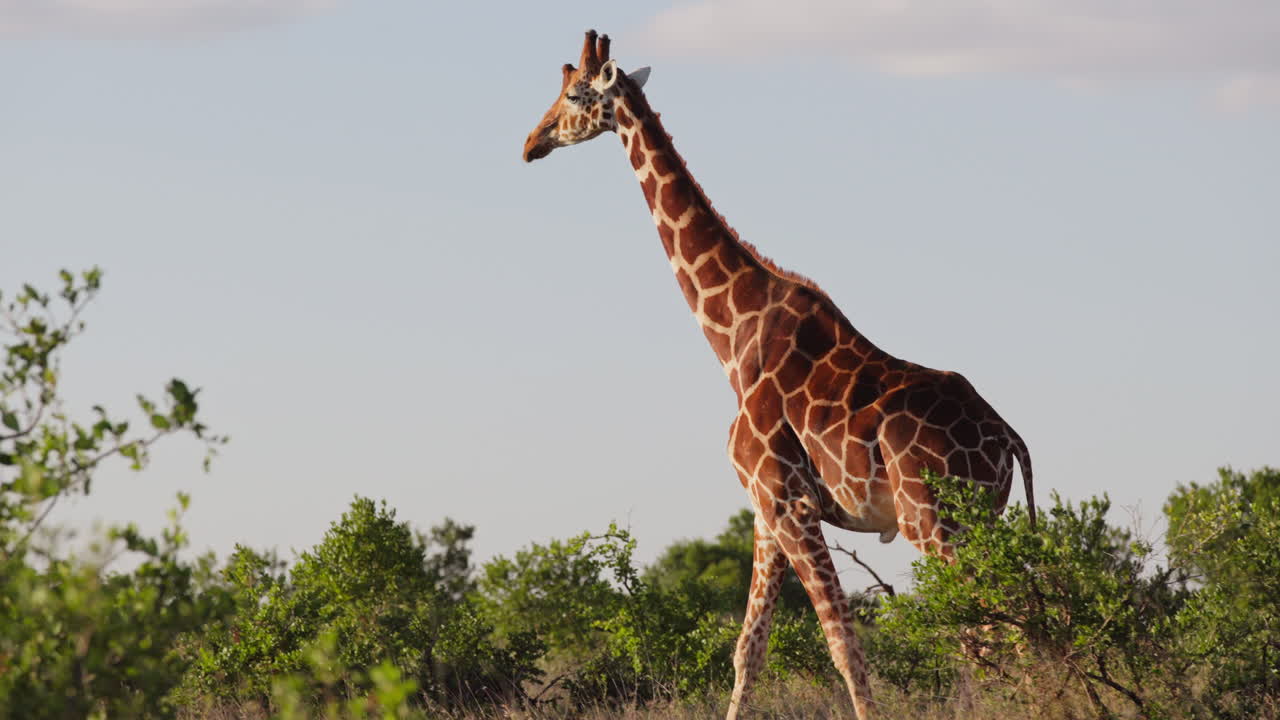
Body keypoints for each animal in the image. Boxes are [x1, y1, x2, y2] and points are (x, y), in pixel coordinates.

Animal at [522, 31, 1034, 720]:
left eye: (575, 94)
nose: (532, 141)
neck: (732, 337)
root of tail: (1007, 438)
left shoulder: (789, 502)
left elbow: (843, 643)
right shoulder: (764, 512)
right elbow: (749, 650)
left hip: (936, 520)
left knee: (991, 632)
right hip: (982, 520)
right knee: (1011, 629)